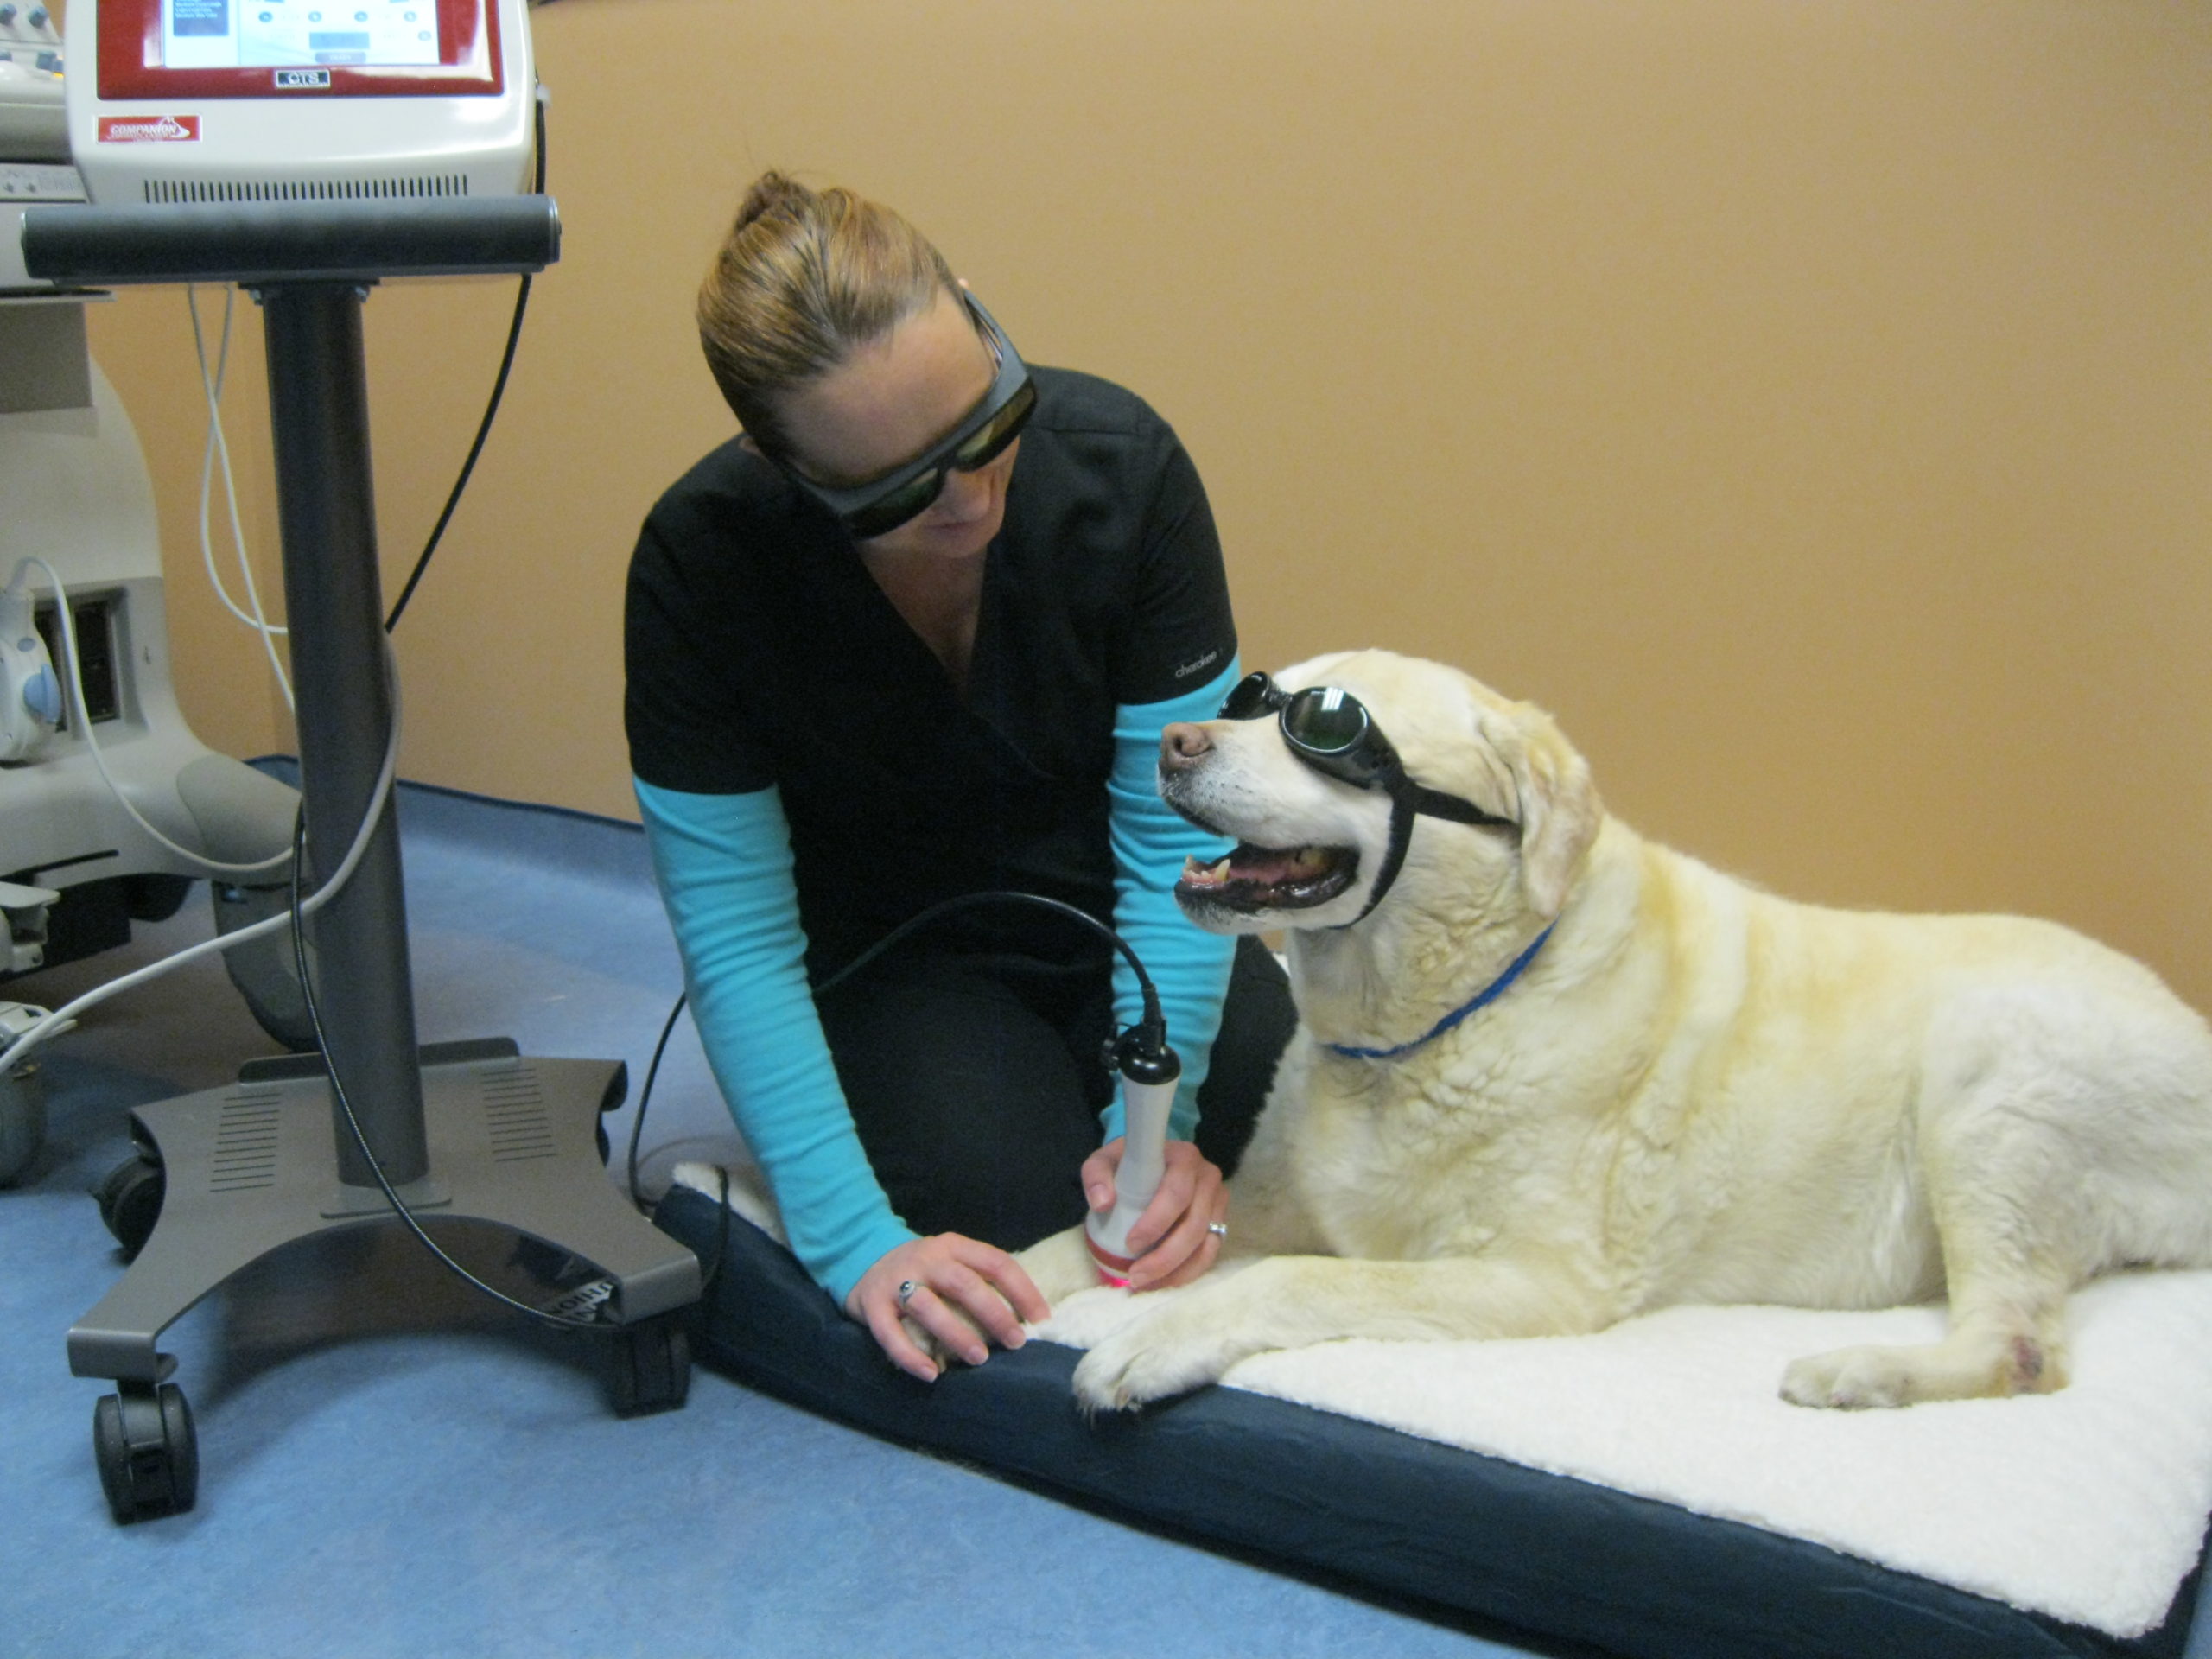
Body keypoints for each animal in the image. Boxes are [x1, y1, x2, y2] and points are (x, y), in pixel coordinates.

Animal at [1026, 650, 2212, 1415]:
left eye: (1325, 725)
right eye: (1251, 696)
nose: (1174, 741)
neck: (1438, 1015)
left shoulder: (1535, 1276)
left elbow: (1297, 1281)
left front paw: (1151, 1341)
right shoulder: (1258, 1204)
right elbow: (1074, 1242)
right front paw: (995, 1281)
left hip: (1989, 1085)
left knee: (2018, 1349)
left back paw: (1856, 1373)